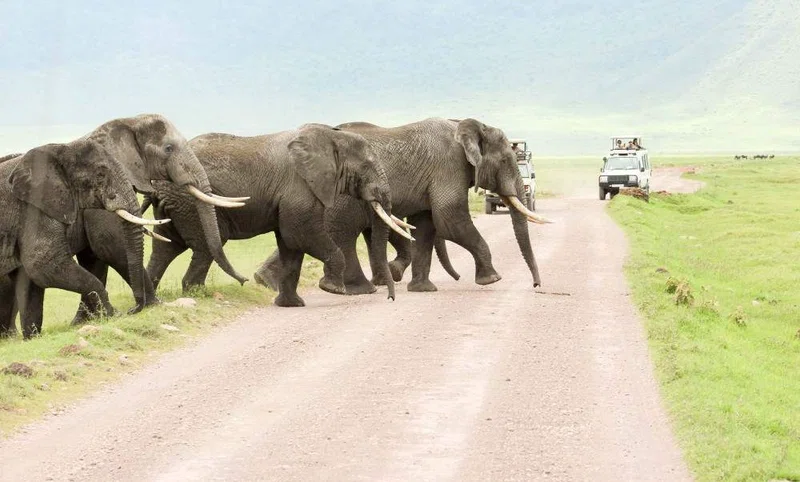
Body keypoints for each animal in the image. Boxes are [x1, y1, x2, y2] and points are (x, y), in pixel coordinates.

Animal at [1, 114, 249, 338]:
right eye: (168, 148)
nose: (245, 280)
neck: (127, 122)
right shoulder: (41, 208)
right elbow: (108, 247)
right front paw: (142, 308)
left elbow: (95, 258)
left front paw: (90, 320)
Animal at [144, 123, 410, 308]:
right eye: (366, 167)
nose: (390, 299)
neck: (330, 135)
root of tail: (157, 186)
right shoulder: (299, 187)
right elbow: (300, 235)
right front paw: (332, 289)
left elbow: (290, 245)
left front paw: (291, 305)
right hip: (190, 202)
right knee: (204, 247)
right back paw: (197, 295)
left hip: (176, 206)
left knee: (166, 248)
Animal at [254, 118, 549, 295]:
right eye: (506, 161)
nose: (536, 285)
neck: (464, 124)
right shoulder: (448, 166)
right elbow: (449, 218)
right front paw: (492, 279)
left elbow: (426, 226)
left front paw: (423, 289)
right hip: (341, 196)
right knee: (342, 234)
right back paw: (359, 290)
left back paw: (266, 283)